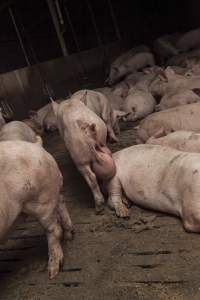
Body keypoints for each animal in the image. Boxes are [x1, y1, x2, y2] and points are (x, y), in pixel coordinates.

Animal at [0, 141, 73, 278]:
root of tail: (37, 145)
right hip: (51, 194)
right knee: (61, 202)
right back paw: (69, 236)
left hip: (42, 200)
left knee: (54, 229)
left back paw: (52, 272)